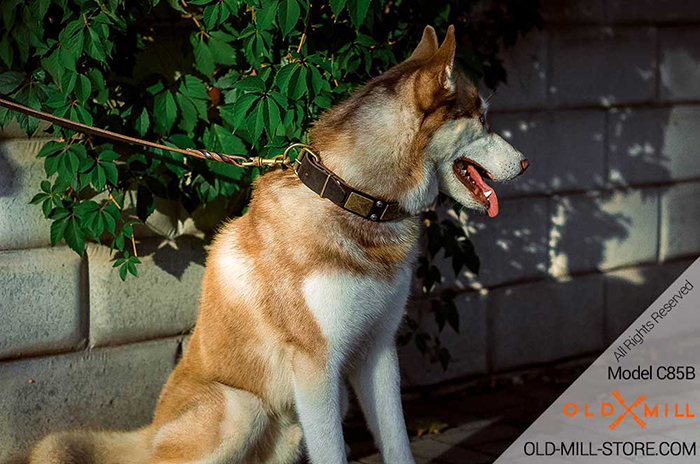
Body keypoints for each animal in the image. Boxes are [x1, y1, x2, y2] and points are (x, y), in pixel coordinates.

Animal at [31, 24, 524, 464]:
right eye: (482, 119)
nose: (525, 162)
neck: (353, 199)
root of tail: (149, 432)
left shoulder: (378, 351)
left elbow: (398, 444)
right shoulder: (315, 365)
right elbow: (333, 454)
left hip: (296, 426)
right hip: (241, 409)